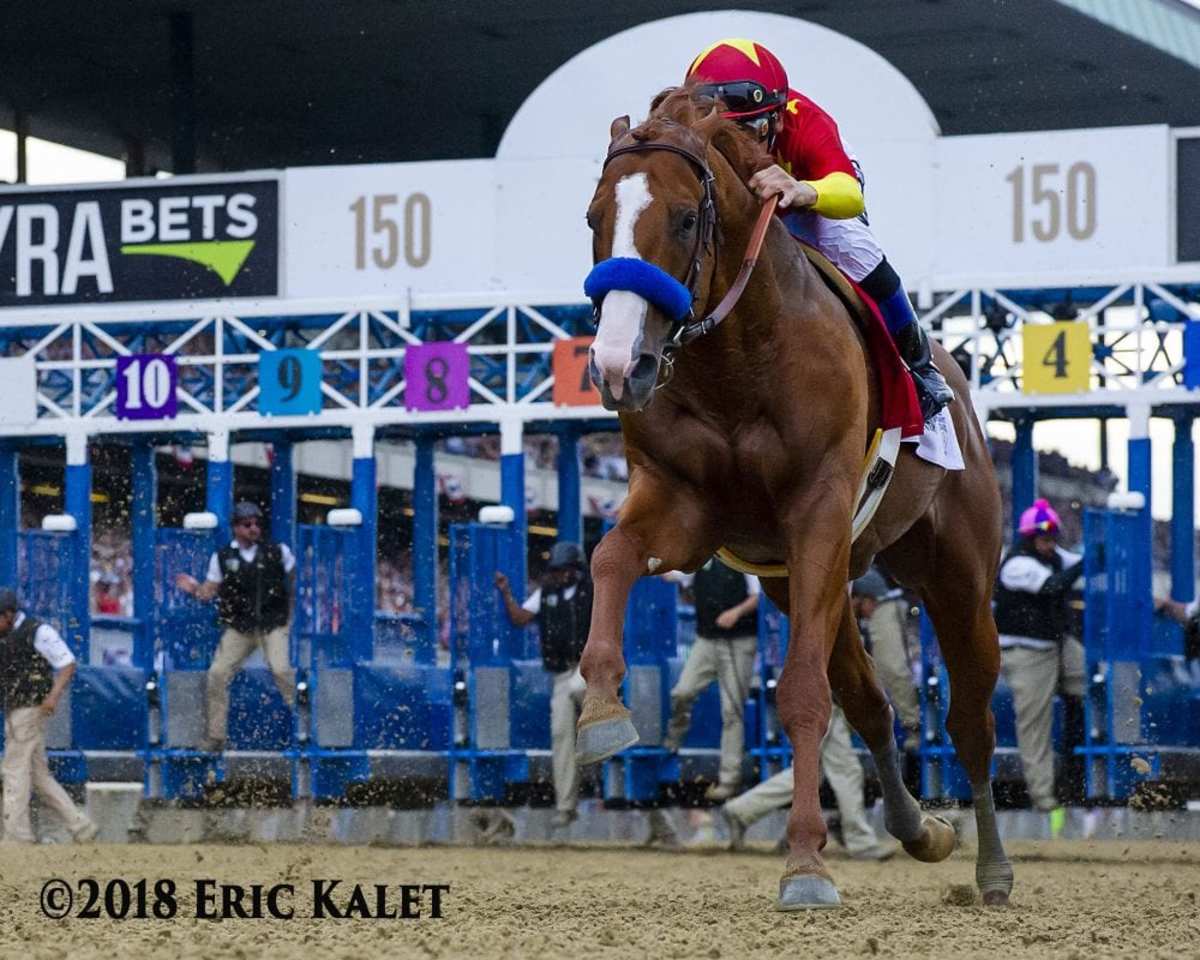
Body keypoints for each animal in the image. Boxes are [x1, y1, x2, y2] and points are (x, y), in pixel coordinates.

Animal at [575, 86, 1013, 910]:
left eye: (684, 219)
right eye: (594, 219)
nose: (619, 366)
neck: (738, 357)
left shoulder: (818, 511)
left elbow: (804, 693)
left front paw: (807, 862)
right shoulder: (684, 504)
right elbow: (611, 556)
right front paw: (602, 713)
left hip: (955, 575)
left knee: (970, 718)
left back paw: (992, 870)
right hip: (813, 579)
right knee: (870, 702)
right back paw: (919, 830)